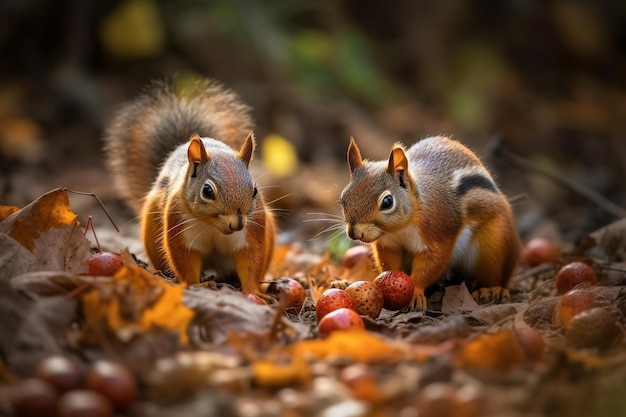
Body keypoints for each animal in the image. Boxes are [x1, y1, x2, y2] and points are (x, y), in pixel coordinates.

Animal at [104, 76, 272, 294]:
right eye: (207, 191)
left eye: (255, 190)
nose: (237, 224)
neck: (213, 226)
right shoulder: (179, 225)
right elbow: (185, 260)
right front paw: (196, 285)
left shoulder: (251, 232)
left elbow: (251, 259)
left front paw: (253, 292)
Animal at [338, 135, 520, 310]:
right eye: (343, 198)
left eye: (387, 202)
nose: (354, 233)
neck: (400, 230)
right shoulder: (388, 245)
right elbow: (389, 264)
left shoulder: (438, 234)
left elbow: (430, 266)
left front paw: (416, 292)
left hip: (495, 244)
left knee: (495, 272)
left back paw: (491, 290)